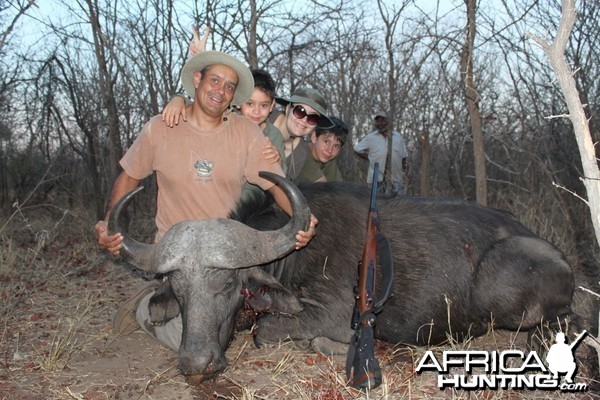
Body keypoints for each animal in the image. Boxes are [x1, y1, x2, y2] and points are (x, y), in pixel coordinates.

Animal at [110, 172, 580, 382]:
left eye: (227, 283)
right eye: (178, 289)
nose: (195, 365)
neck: (293, 253)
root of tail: (559, 256)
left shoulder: (332, 316)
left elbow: (266, 331)